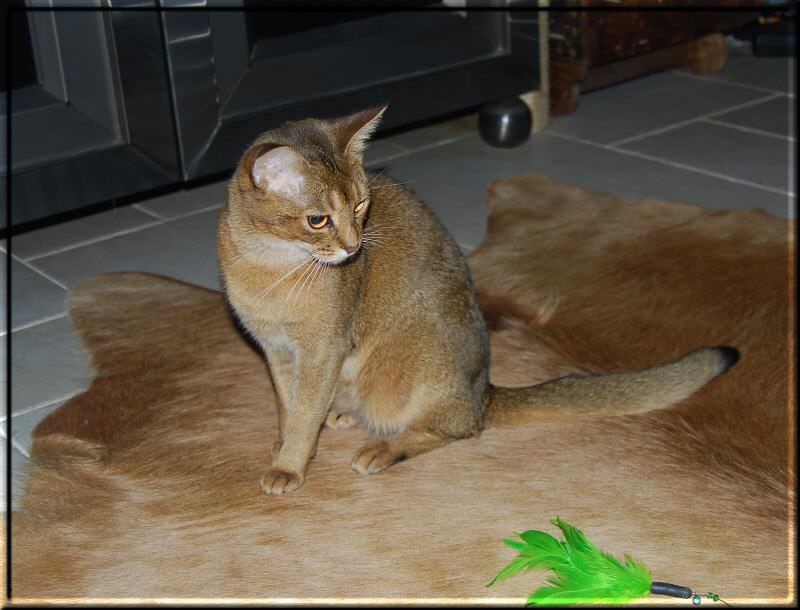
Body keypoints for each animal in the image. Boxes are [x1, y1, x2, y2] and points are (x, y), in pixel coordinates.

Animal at [216, 105, 740, 494]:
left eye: (362, 206)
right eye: (319, 219)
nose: (353, 247)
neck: (269, 265)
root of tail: (483, 391)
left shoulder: (322, 350)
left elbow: (304, 412)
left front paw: (290, 465)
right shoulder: (275, 350)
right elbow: (289, 404)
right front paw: (285, 446)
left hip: (406, 375)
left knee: (462, 427)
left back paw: (384, 448)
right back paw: (342, 413)